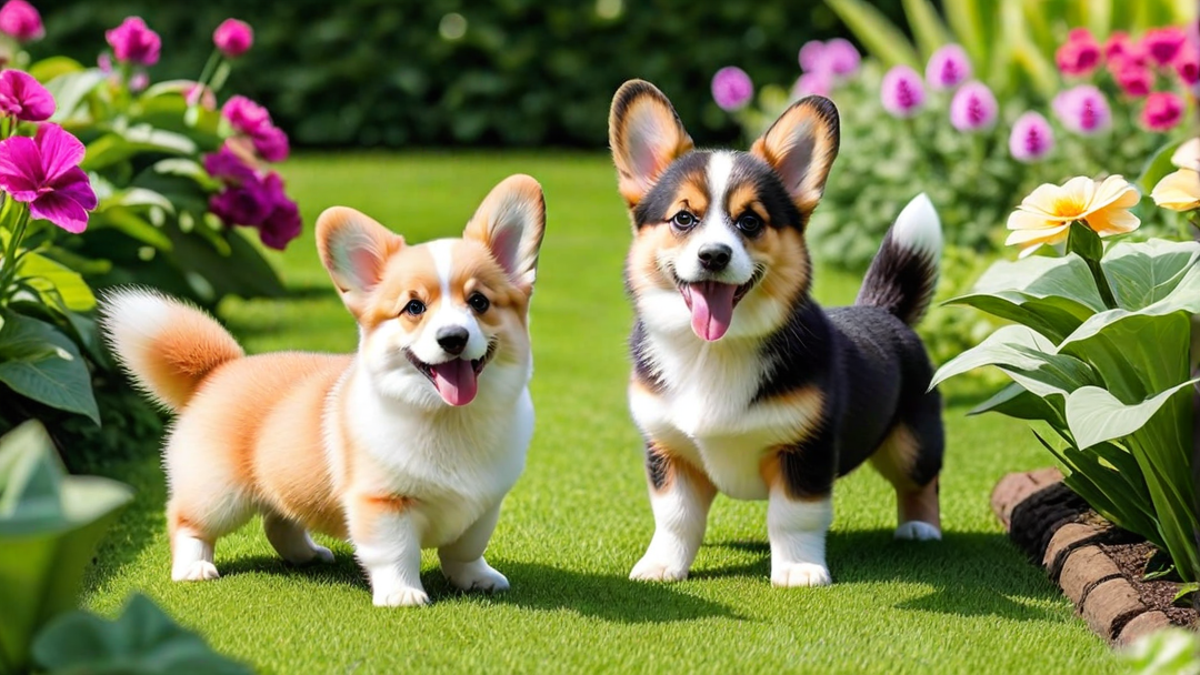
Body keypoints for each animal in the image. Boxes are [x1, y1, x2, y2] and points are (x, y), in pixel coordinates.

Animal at [100, 172, 547, 605]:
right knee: (186, 520)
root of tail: (219, 369)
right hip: (218, 493)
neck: (450, 419)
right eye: (414, 308)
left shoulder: (484, 505)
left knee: (278, 521)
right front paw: (402, 593)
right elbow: (395, 553)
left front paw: (476, 579)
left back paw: (307, 555)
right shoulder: (382, 503)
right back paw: (193, 568)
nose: (453, 338)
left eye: (479, 302)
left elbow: (465, 549)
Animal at [609, 77, 945, 583]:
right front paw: (662, 566)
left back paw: (921, 528)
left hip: (913, 439)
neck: (714, 351)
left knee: (922, 481)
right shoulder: (668, 450)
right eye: (684, 218)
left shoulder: (805, 449)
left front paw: (799, 570)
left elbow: (792, 516)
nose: (714, 255)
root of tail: (883, 309)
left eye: (750, 221)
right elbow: (676, 518)